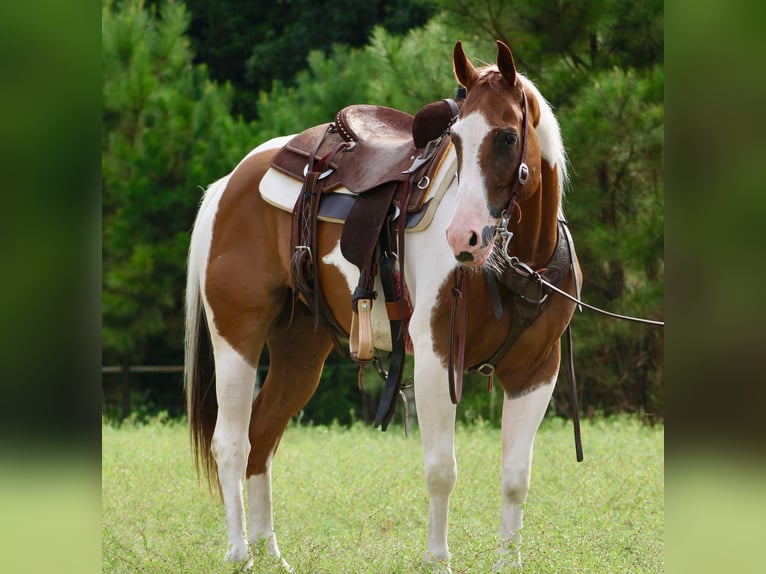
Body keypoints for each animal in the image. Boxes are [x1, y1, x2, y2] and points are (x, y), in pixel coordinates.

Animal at [184, 40, 580, 572]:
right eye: (455, 139)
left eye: (506, 137)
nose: (464, 237)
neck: (517, 260)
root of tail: (229, 184)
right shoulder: (436, 359)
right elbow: (441, 470)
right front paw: (438, 560)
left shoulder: (537, 370)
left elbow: (516, 476)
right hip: (236, 338)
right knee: (231, 442)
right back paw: (241, 554)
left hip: (300, 350)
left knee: (262, 437)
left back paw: (272, 554)